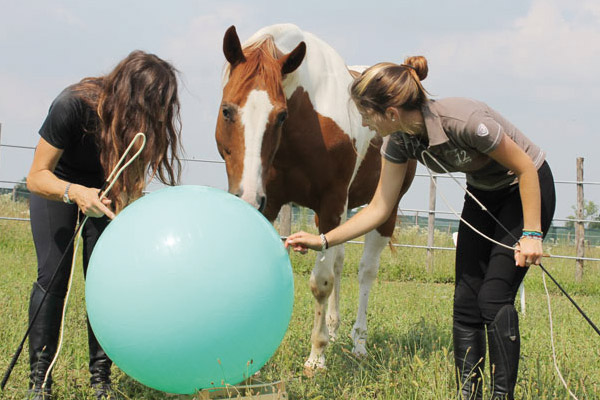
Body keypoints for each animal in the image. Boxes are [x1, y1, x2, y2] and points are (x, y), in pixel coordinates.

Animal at [217, 23, 418, 370]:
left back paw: (359, 342)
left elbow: (321, 282)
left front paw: (317, 356)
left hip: (385, 210)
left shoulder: (330, 204)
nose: (248, 197)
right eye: (227, 110)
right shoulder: (272, 204)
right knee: (339, 262)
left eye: (281, 116)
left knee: (366, 271)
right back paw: (336, 330)